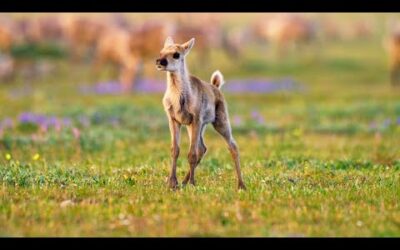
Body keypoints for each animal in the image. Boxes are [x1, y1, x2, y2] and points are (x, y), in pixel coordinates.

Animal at [157, 36, 247, 189]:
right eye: (161, 51)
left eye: (176, 54)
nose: (159, 61)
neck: (177, 98)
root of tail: (216, 86)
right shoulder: (174, 119)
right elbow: (175, 150)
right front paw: (172, 183)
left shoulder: (196, 119)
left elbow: (192, 153)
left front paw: (192, 183)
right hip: (195, 126)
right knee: (203, 148)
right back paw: (184, 181)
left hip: (220, 121)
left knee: (232, 146)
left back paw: (241, 185)